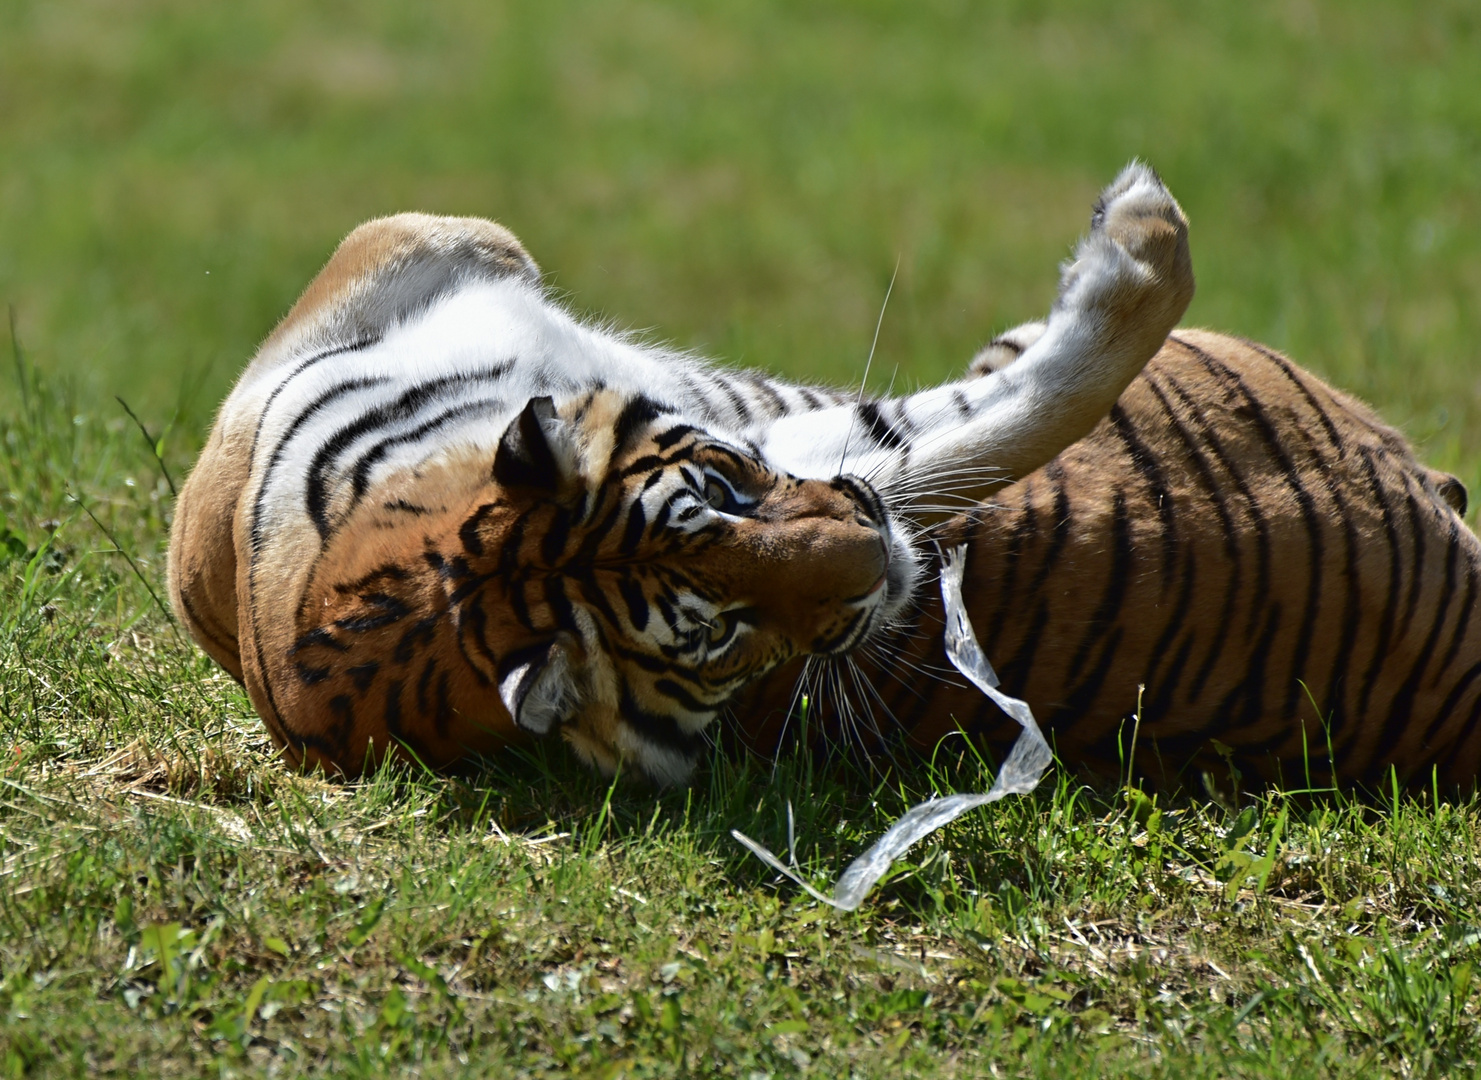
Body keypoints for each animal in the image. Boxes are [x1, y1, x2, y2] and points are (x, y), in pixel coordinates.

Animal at [168, 162, 1196, 782]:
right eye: (719, 634)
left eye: (720, 492)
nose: (877, 565)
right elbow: (1001, 422)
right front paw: (1147, 233)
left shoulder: (435, 244)